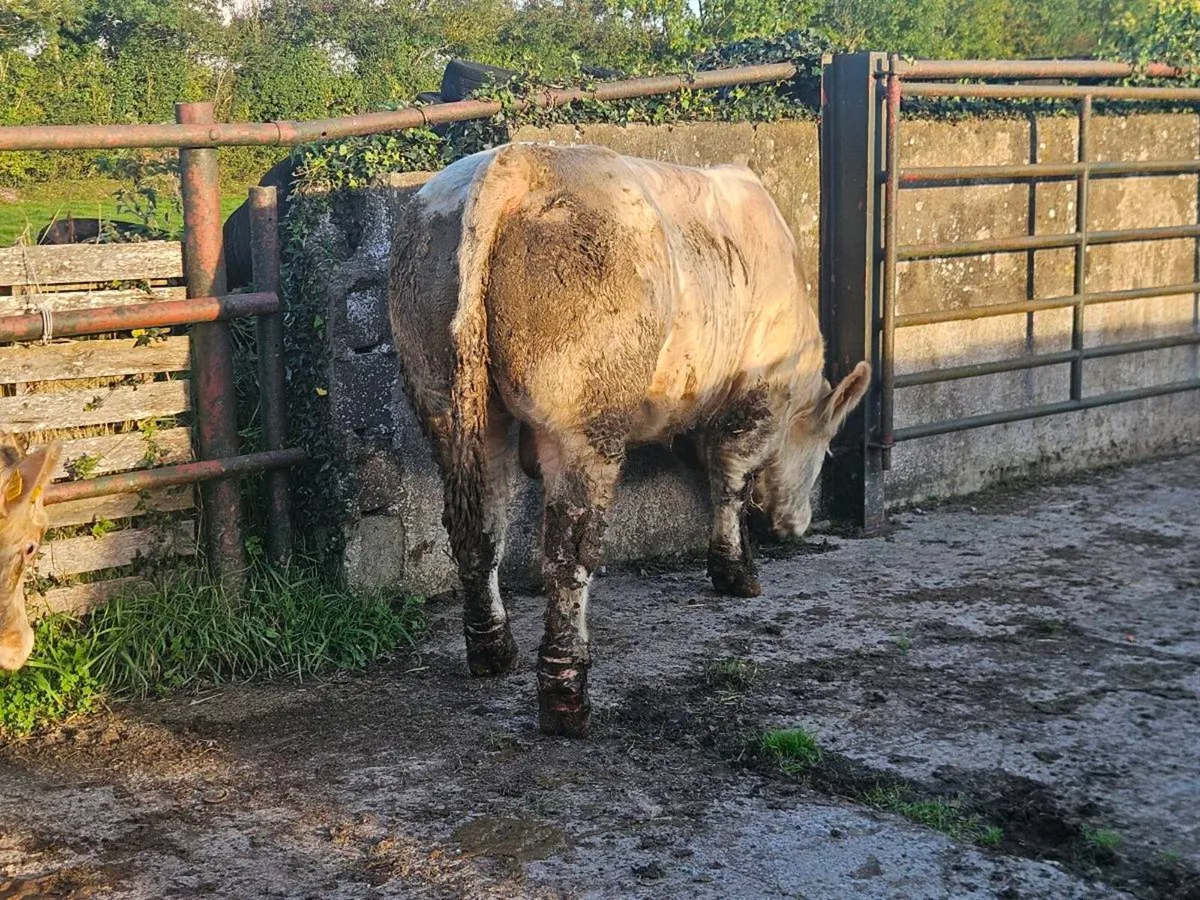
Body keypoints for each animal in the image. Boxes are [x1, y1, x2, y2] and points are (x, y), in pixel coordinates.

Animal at [388, 143, 870, 738]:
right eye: (826, 449)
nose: (799, 524)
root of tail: (515, 163)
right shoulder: (760, 394)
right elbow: (731, 481)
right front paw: (738, 573)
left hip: (446, 396)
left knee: (478, 526)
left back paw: (494, 651)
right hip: (584, 414)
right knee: (568, 552)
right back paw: (566, 698)